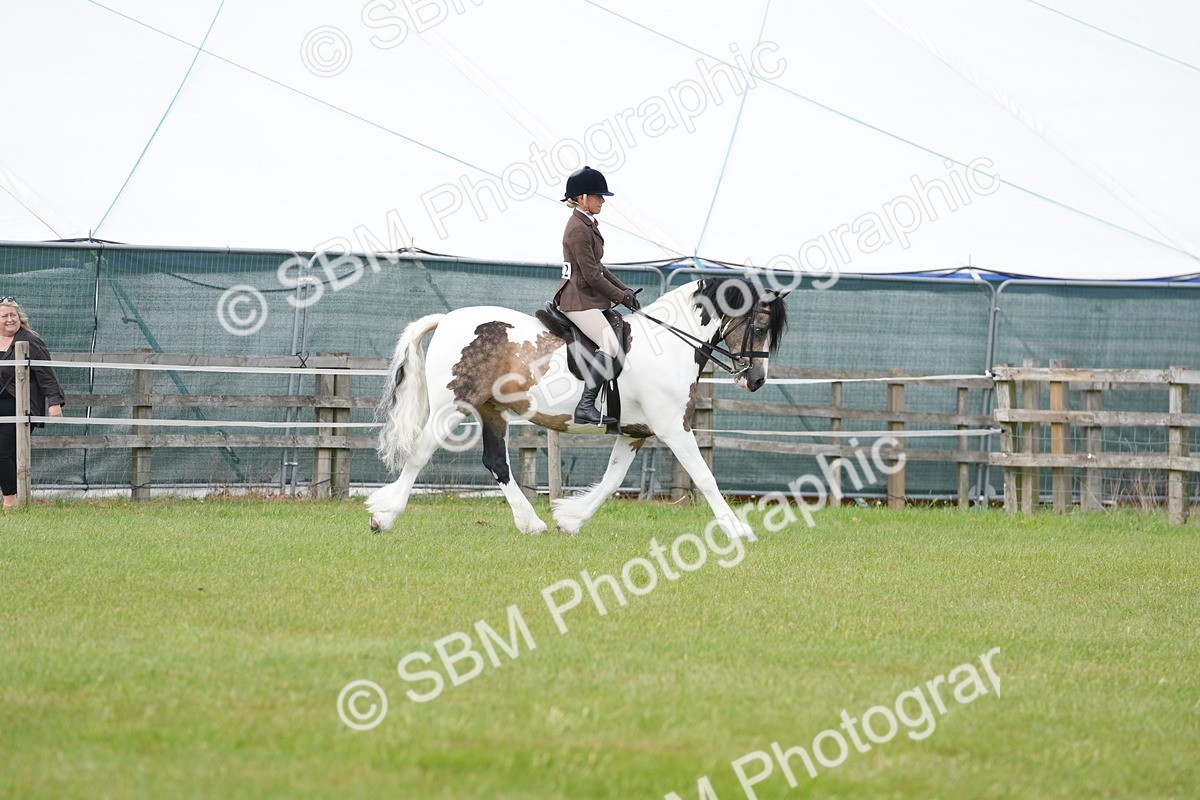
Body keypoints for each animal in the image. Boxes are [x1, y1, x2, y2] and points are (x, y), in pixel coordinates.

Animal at [366, 276, 788, 540]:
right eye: (760, 325)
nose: (756, 380)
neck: (668, 344)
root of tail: (447, 319)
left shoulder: (635, 432)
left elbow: (612, 481)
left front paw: (570, 519)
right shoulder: (673, 428)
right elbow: (705, 477)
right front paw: (738, 530)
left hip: (491, 409)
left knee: (497, 463)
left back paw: (531, 523)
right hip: (454, 404)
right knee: (421, 451)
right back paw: (383, 516)